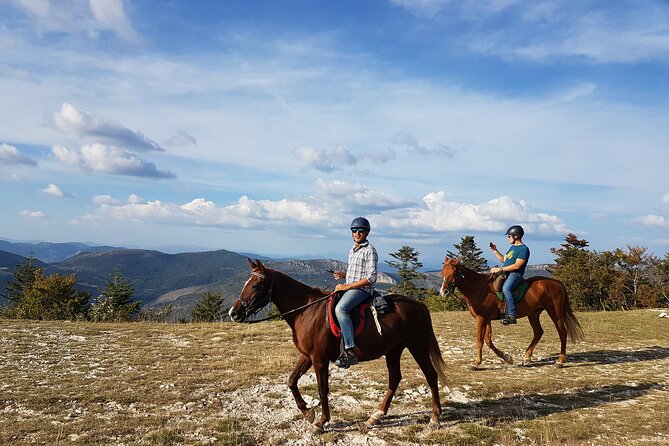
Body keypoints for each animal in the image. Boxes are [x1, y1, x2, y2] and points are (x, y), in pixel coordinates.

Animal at [227, 260, 446, 434]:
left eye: (256, 285)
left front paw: (321, 422)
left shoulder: (319, 359)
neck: (306, 312)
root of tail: (419, 306)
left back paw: (435, 418)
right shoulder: (307, 356)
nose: (234, 313)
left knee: (430, 375)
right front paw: (307, 412)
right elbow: (291, 381)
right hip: (393, 350)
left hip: (417, 346)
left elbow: (322, 389)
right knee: (395, 378)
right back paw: (376, 416)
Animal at [438, 258, 580, 370]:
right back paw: (527, 358)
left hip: (555, 313)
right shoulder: (486, 319)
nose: (444, 292)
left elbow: (479, 340)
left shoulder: (481, 319)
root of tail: (557, 283)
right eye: (442, 273)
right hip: (533, 314)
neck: (480, 288)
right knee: (538, 332)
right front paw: (507, 357)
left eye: (453, 273)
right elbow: (488, 340)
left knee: (562, 332)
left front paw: (475, 363)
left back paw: (560, 361)